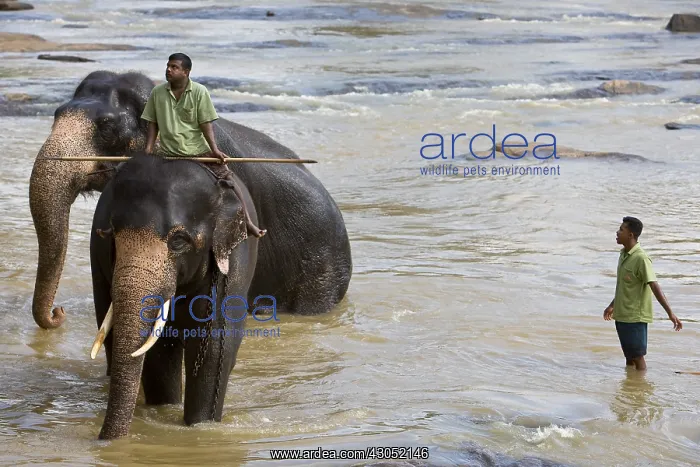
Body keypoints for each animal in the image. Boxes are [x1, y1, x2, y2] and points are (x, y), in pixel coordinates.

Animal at [89, 152, 260, 439]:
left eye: (178, 241)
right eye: (112, 236)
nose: (102, 440)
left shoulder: (234, 260)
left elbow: (213, 347)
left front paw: (200, 426)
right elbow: (159, 350)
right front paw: (163, 411)